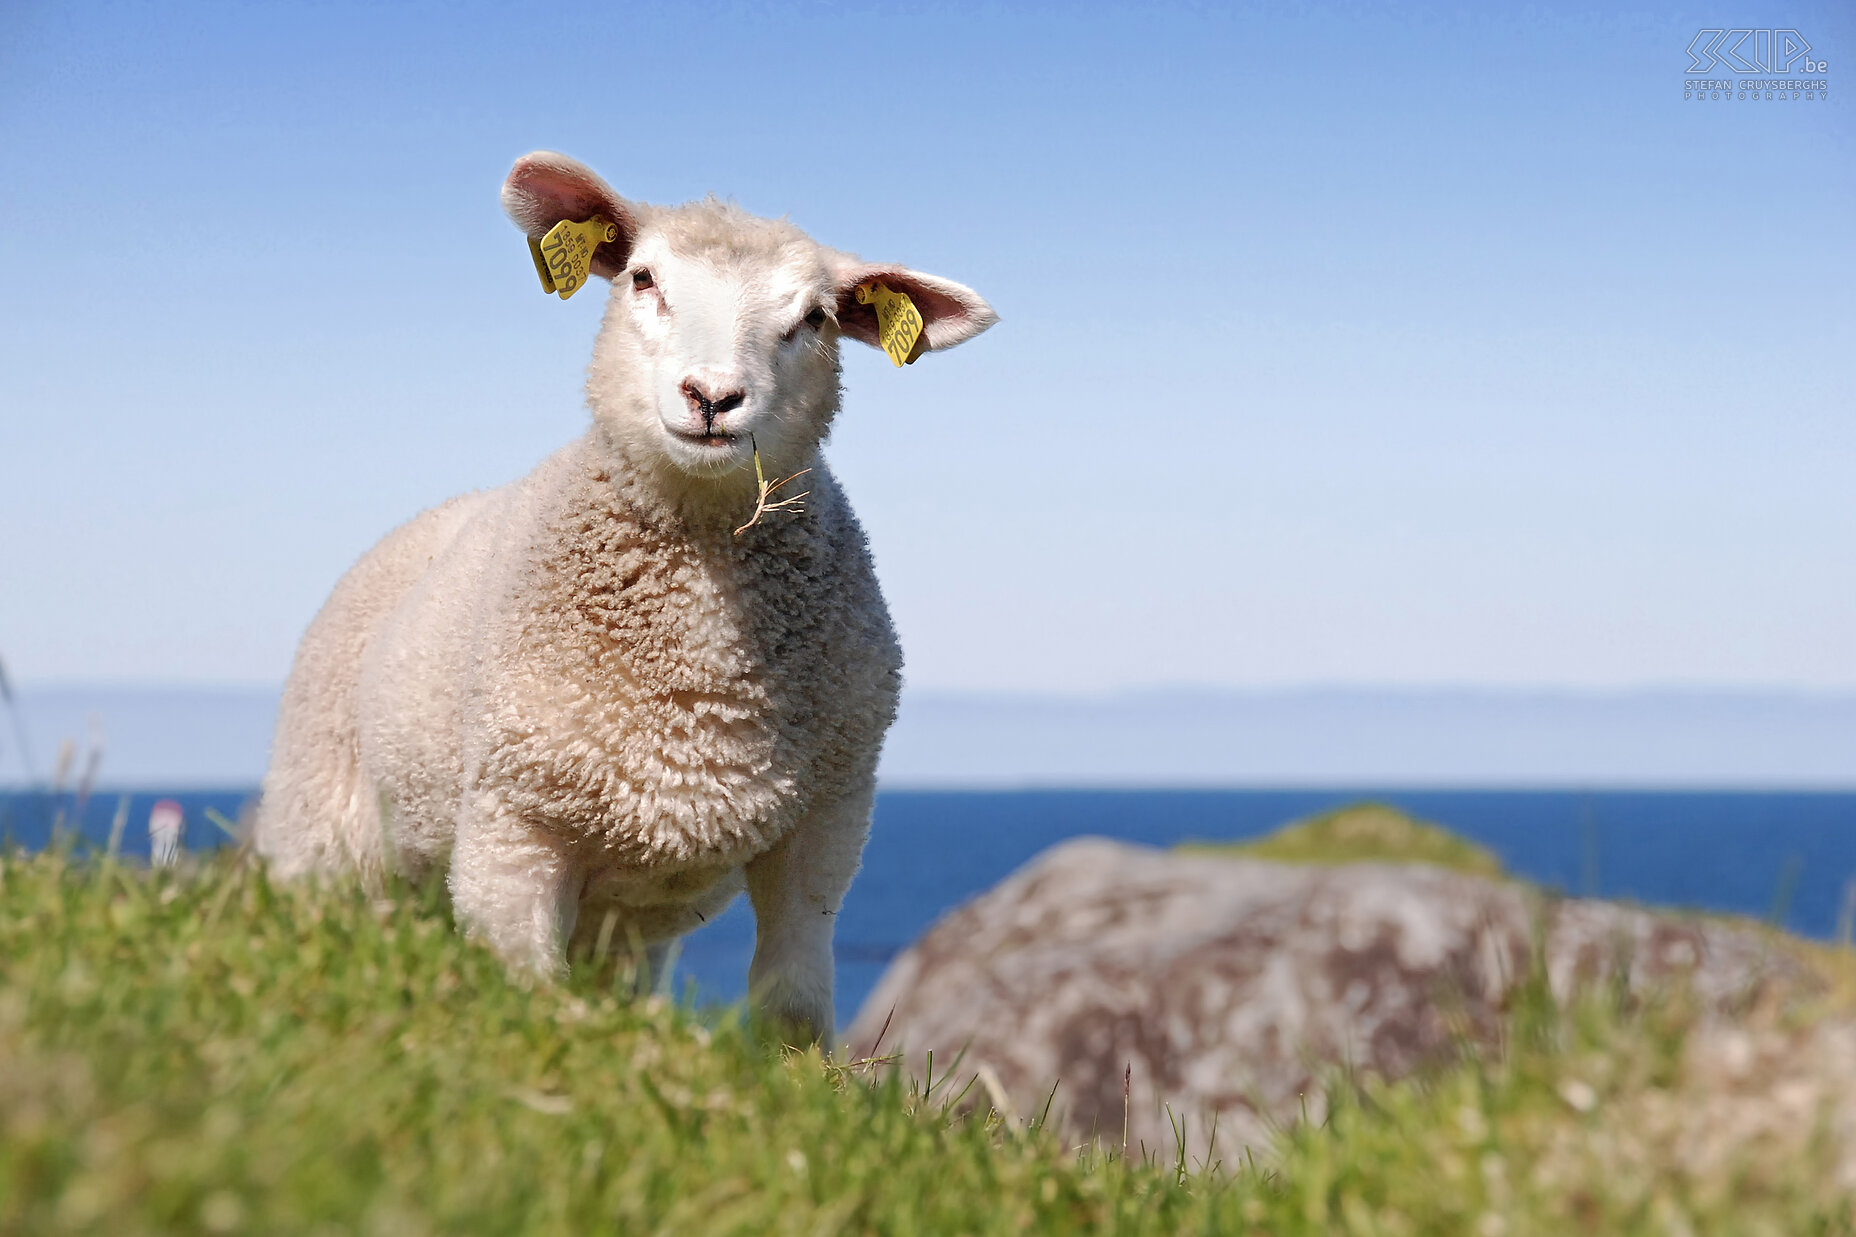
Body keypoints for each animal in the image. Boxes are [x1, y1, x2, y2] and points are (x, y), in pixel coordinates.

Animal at [257, 154, 1002, 1040]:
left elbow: (791, 1001)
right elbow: (527, 991)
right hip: (320, 825)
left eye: (815, 318)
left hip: (625, 931)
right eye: (644, 279)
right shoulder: (513, 826)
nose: (712, 396)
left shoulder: (828, 819)